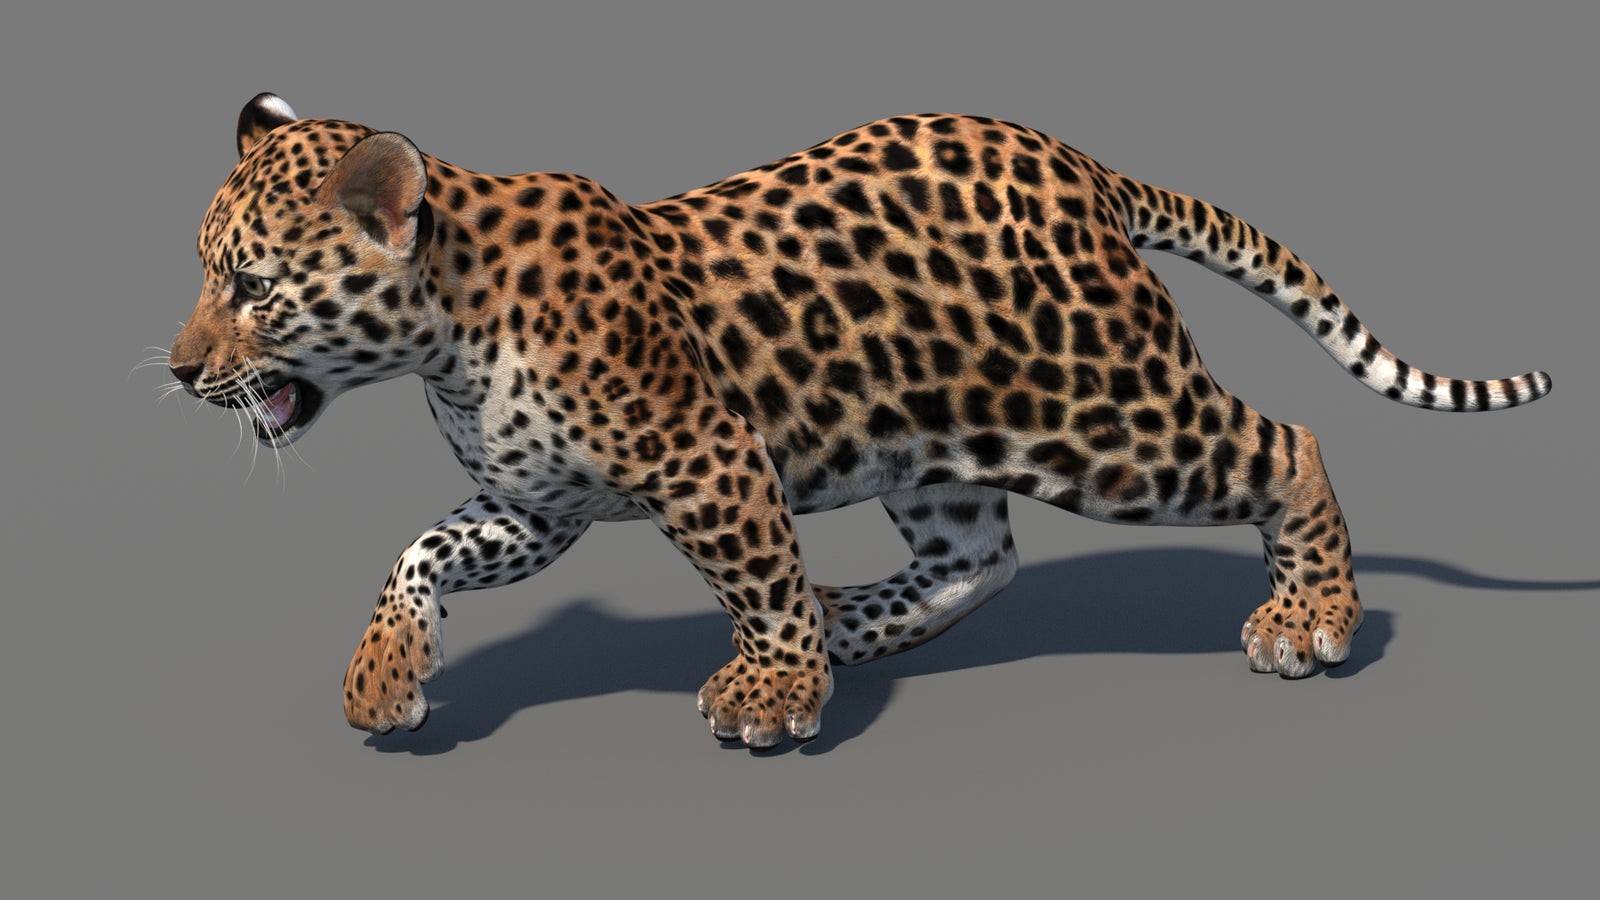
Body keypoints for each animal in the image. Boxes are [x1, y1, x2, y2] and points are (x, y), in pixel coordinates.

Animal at [168, 93, 1551, 749]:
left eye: (250, 287)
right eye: (207, 276)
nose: (178, 373)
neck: (445, 339)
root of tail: (1081, 165)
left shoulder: (707, 460)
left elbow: (755, 579)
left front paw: (774, 693)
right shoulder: (534, 506)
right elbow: (416, 553)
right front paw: (383, 678)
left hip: (1107, 419)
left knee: (1285, 447)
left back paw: (1310, 618)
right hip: (936, 438)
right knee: (979, 557)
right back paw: (858, 622)